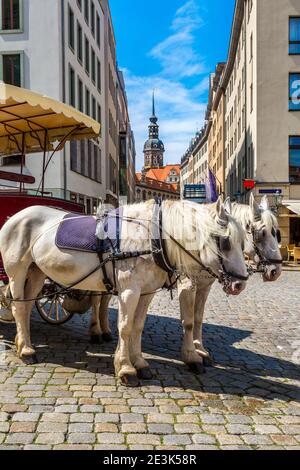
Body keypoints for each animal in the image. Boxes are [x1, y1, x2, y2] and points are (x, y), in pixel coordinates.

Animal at [0, 198, 248, 386]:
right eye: (224, 241)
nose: (241, 284)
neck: (150, 238)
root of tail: (14, 218)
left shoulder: (147, 292)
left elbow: (137, 327)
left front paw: (140, 363)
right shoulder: (129, 290)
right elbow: (126, 327)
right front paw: (126, 368)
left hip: (36, 273)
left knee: (25, 308)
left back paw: (23, 344)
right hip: (17, 273)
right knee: (18, 307)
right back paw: (27, 351)